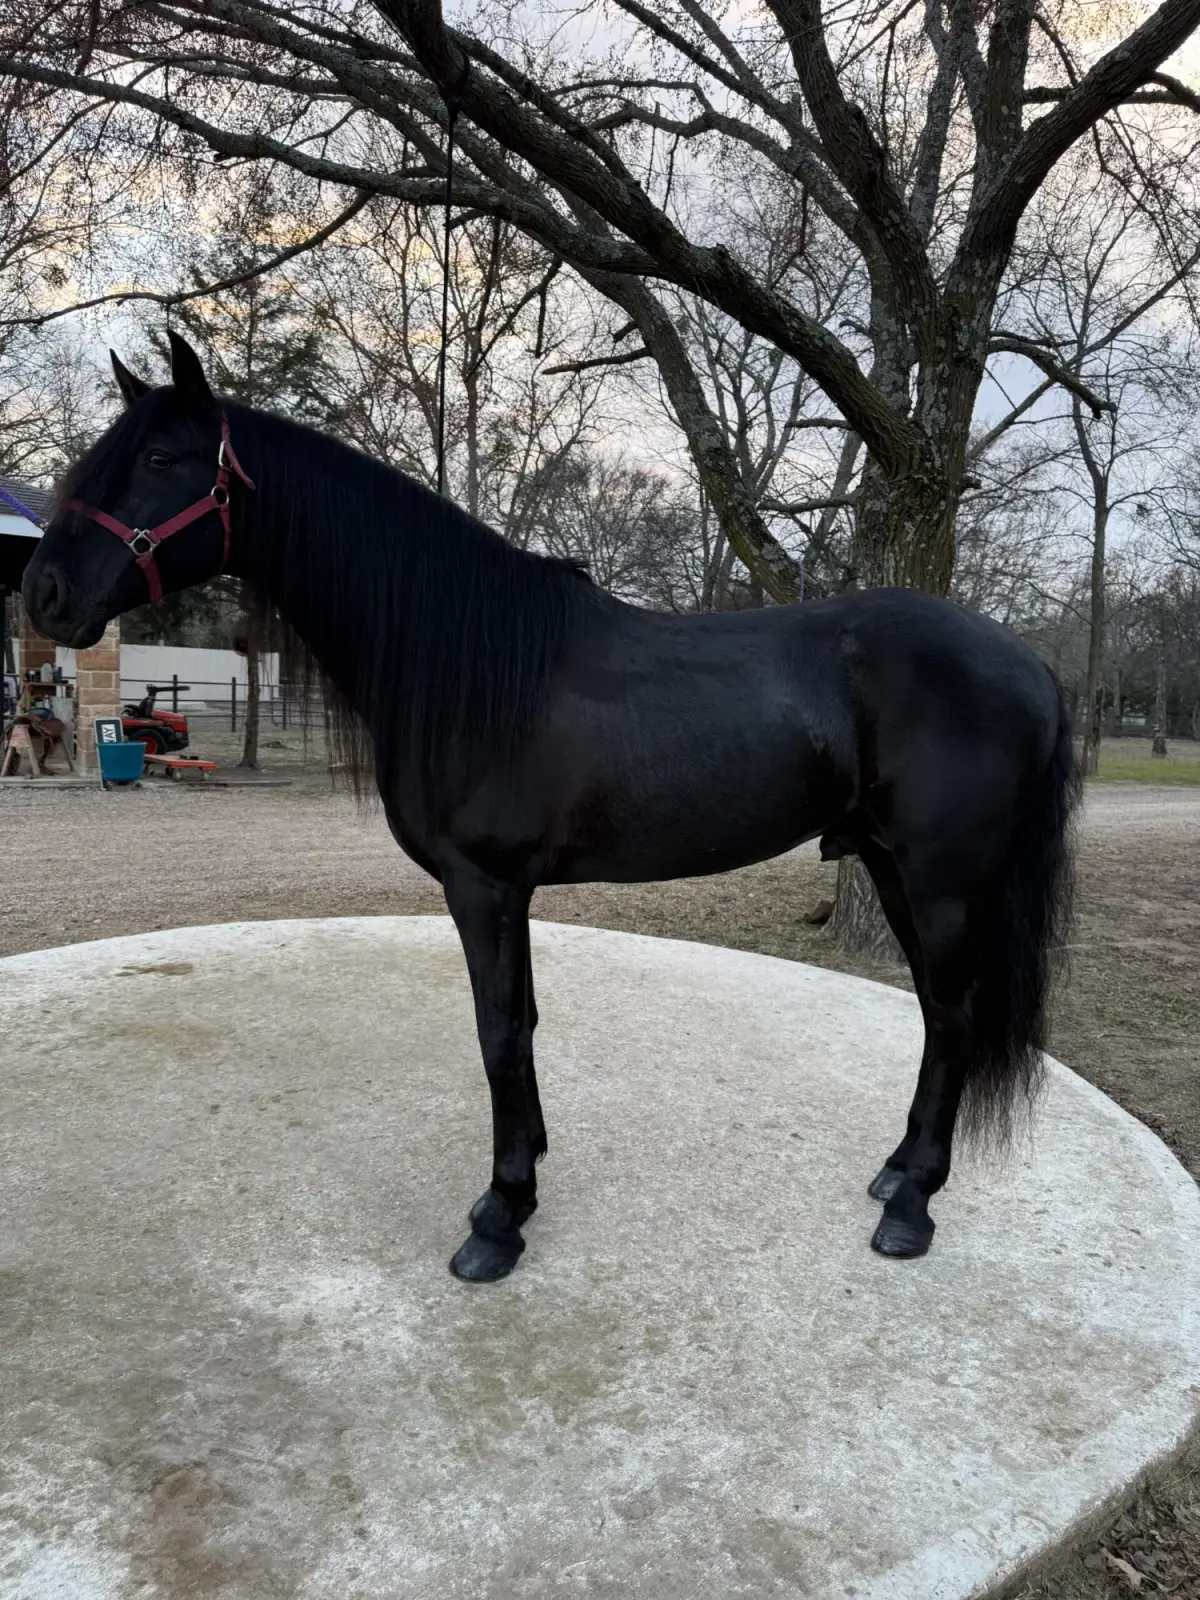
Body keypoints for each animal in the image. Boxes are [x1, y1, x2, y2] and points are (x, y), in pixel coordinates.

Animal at [22, 333, 1079, 1284]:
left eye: (161, 460)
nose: (44, 593)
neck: (470, 662)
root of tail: (1030, 663)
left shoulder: (483, 884)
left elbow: (498, 1033)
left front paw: (499, 1218)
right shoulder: (508, 891)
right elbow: (521, 1024)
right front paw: (524, 1178)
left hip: (942, 879)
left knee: (954, 1013)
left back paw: (912, 1210)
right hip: (895, 868)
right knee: (940, 1015)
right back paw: (896, 1174)